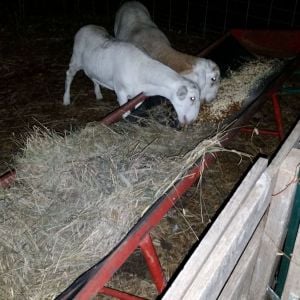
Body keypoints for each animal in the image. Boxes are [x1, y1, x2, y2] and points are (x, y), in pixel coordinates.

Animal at [62, 24, 202, 125]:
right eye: (192, 98)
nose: (192, 121)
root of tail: (86, 26)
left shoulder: (137, 96)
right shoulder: (121, 93)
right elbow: (124, 113)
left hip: (93, 66)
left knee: (93, 77)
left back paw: (98, 94)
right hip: (76, 59)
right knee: (69, 74)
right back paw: (66, 99)